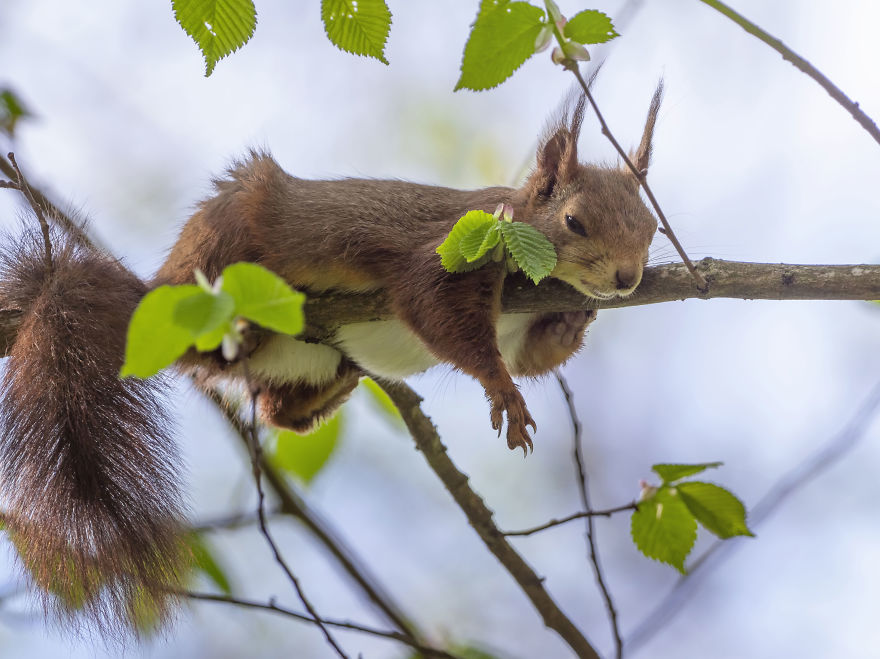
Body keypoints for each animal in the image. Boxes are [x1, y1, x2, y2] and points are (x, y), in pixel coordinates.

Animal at [0, 85, 660, 632]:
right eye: (574, 221)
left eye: (653, 227)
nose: (627, 279)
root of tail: (155, 294)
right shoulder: (457, 246)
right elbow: (438, 313)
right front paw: (502, 390)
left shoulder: (521, 327)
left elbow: (534, 353)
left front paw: (574, 321)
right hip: (229, 232)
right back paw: (239, 322)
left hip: (308, 365)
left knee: (275, 408)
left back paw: (325, 392)